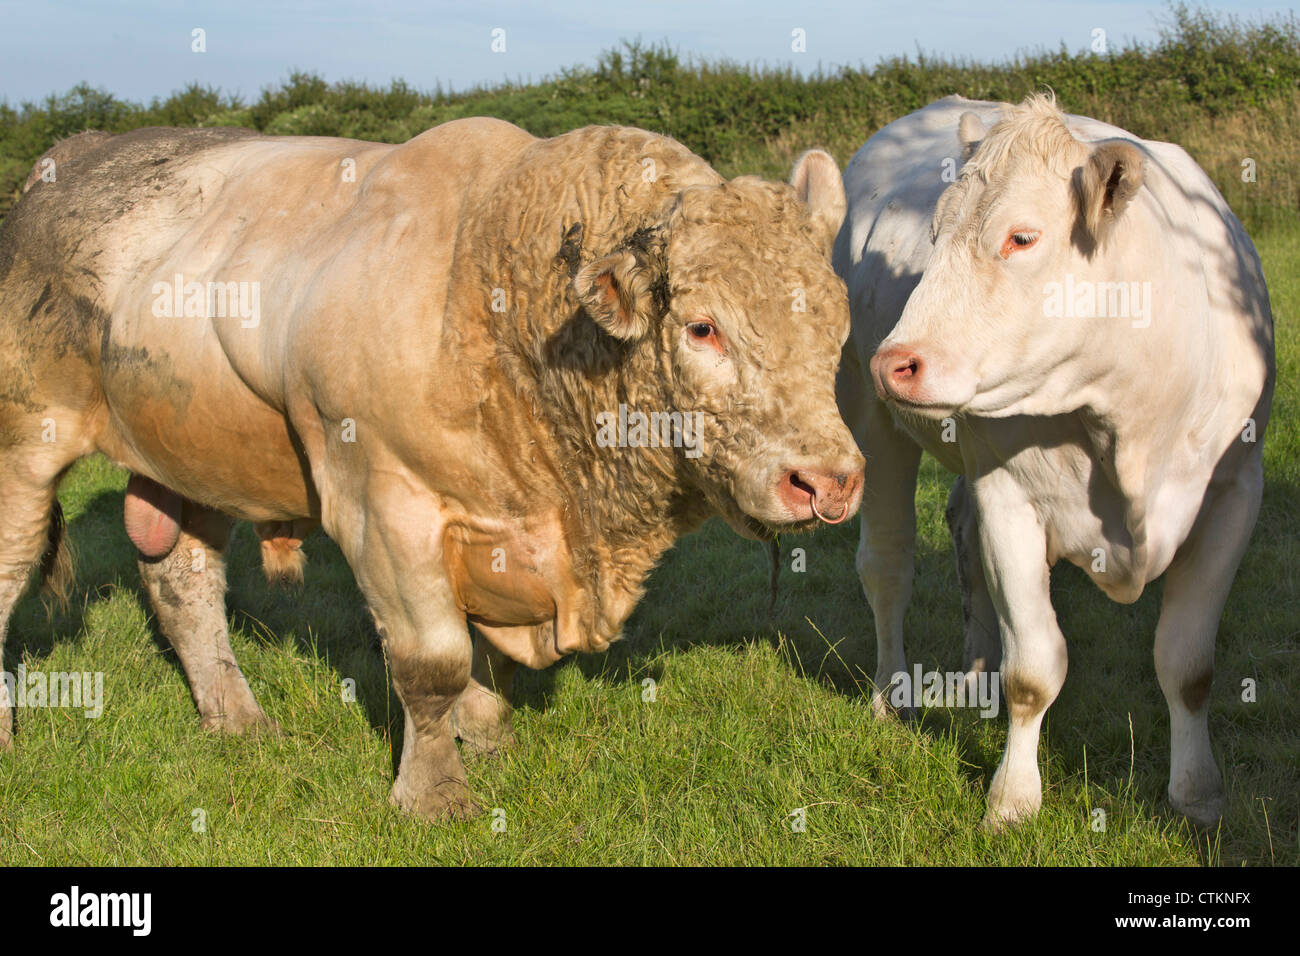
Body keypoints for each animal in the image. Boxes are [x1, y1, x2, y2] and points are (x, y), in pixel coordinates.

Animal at [0, 121, 864, 819]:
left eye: (838, 323)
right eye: (702, 327)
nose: (827, 480)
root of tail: (61, 163)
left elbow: (483, 655)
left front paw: (486, 735)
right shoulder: (383, 503)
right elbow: (433, 661)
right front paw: (434, 795)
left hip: (194, 455)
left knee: (183, 584)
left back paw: (239, 721)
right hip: (24, 444)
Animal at [835, 93, 1274, 828]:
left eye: (1022, 237)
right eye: (936, 232)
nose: (894, 361)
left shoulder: (1234, 493)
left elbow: (1187, 663)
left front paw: (1197, 793)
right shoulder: (1011, 496)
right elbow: (1035, 668)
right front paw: (1012, 799)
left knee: (963, 538)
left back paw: (976, 668)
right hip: (871, 422)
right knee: (886, 565)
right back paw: (893, 695)